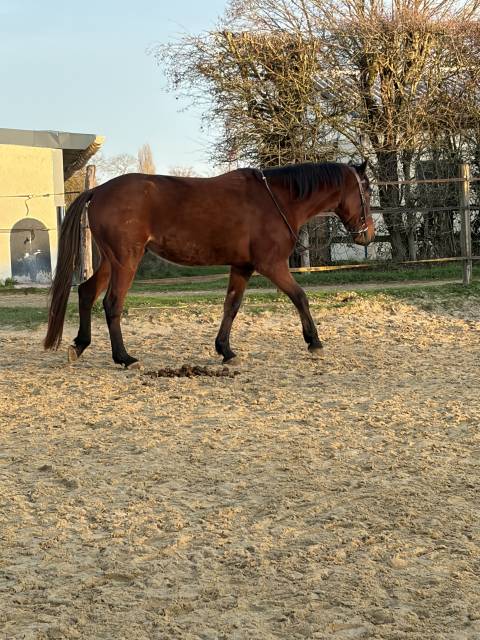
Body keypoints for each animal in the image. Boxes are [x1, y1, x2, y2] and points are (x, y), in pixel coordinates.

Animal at [44, 161, 374, 368]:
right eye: (367, 191)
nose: (368, 234)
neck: (277, 200)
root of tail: (97, 190)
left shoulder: (242, 266)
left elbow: (232, 306)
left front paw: (225, 350)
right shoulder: (271, 265)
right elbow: (300, 297)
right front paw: (314, 342)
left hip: (111, 260)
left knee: (87, 292)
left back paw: (80, 345)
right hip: (126, 260)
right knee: (112, 303)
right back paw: (124, 357)